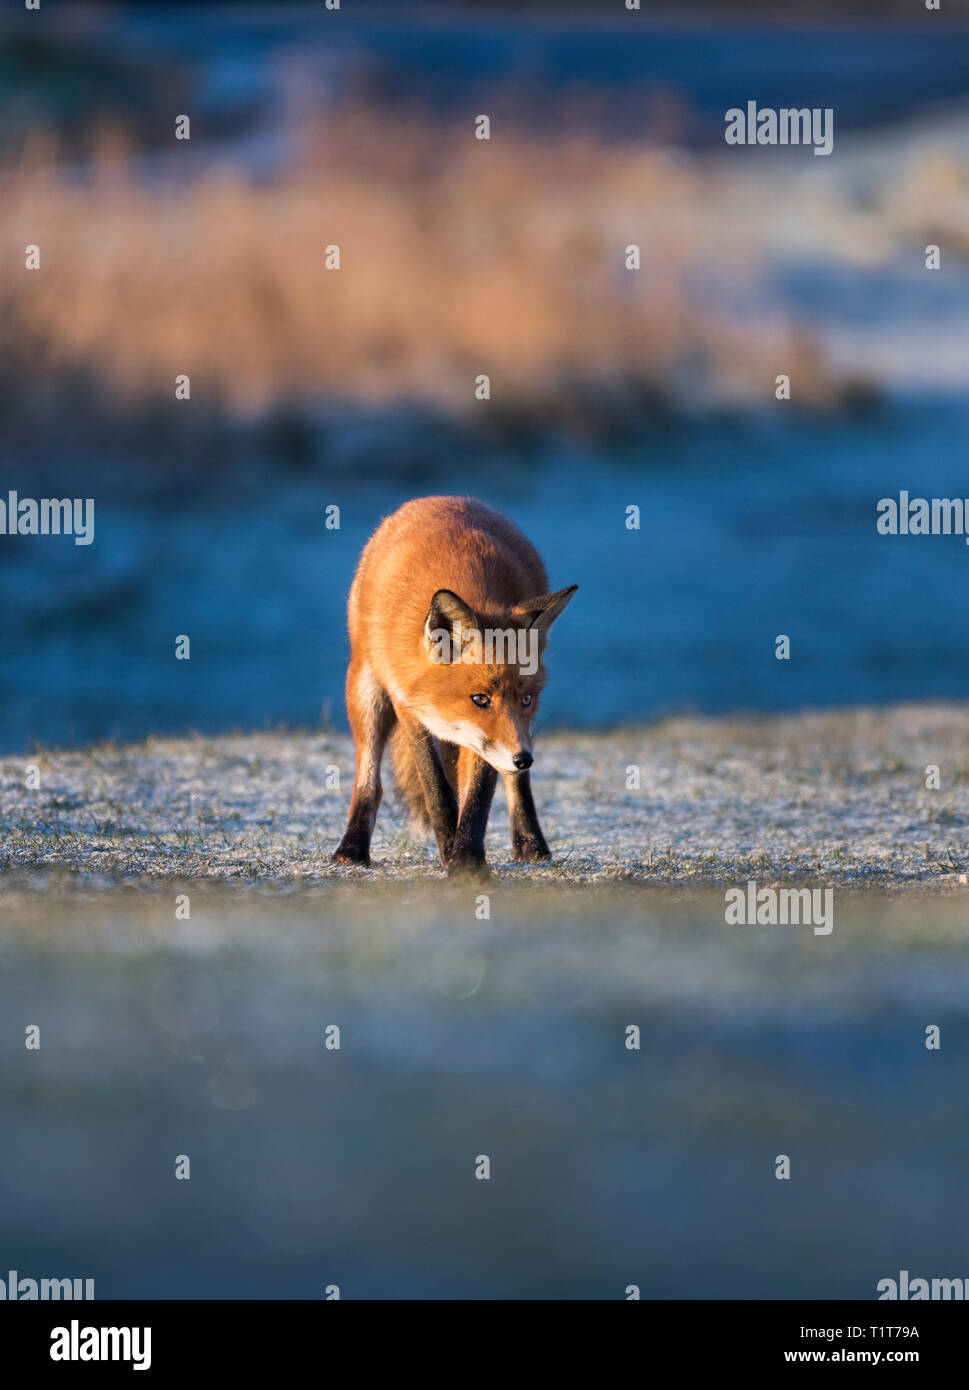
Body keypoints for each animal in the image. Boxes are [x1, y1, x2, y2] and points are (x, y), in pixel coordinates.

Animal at [333, 496, 577, 876]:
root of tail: (437, 499)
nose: (524, 759)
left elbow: (477, 793)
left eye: (526, 698)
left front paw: (466, 860)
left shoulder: (488, 739)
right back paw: (352, 848)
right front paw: (450, 850)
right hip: (365, 693)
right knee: (369, 779)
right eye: (480, 699)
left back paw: (530, 843)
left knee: (513, 783)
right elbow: (435, 788)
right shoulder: (408, 707)